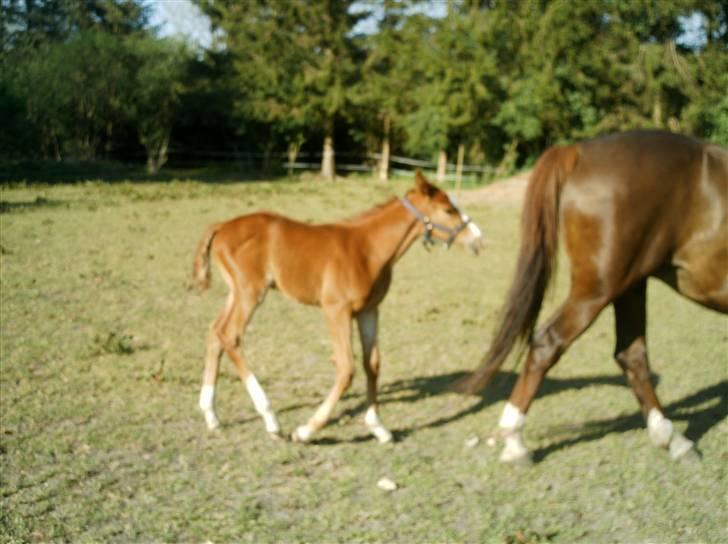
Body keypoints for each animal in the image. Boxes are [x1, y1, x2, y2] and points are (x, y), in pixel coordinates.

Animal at [192, 172, 484, 444]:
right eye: (448, 210)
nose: (478, 240)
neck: (367, 250)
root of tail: (222, 225)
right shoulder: (336, 310)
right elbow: (346, 368)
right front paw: (306, 430)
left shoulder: (369, 310)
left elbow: (372, 364)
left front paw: (378, 427)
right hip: (251, 293)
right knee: (230, 335)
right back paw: (271, 420)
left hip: (236, 293)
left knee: (215, 332)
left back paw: (211, 415)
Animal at [452, 131, 724, 464]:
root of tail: (578, 151)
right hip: (597, 291)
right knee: (549, 342)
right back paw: (515, 441)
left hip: (630, 284)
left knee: (631, 355)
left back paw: (672, 439)